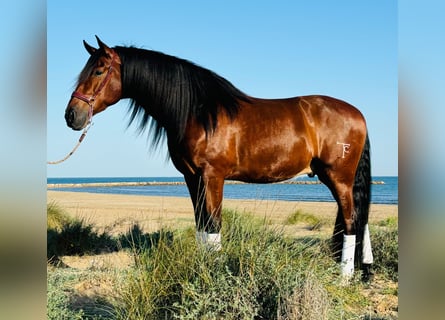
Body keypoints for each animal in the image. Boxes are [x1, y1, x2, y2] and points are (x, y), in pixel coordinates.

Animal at [65, 37, 372, 280]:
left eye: (99, 70)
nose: (71, 115)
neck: (197, 112)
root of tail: (358, 114)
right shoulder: (192, 178)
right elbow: (201, 225)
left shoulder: (213, 176)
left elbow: (213, 225)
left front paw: (213, 273)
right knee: (357, 218)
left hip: (339, 178)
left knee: (350, 221)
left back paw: (345, 277)